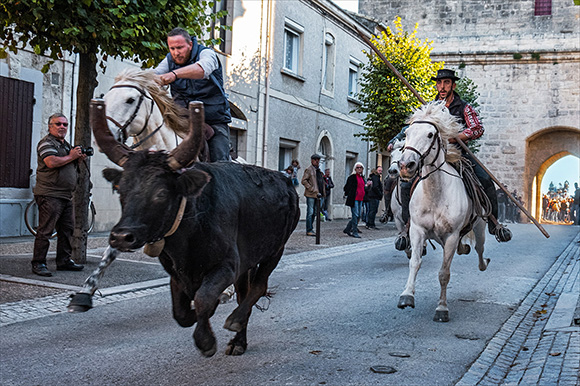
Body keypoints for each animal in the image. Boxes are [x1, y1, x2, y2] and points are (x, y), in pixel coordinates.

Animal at [93, 99, 302, 356]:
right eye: (121, 189)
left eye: (161, 193)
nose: (121, 236)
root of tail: (285, 180)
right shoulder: (177, 273)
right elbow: (181, 313)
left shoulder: (227, 266)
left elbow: (203, 298)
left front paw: (206, 340)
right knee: (245, 292)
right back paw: (238, 341)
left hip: (275, 251)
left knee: (258, 287)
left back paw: (235, 320)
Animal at [396, 102, 488, 322]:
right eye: (407, 133)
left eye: (430, 134)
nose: (405, 165)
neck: (435, 193)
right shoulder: (417, 230)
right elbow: (415, 263)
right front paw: (406, 296)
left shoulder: (452, 236)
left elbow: (444, 273)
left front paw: (442, 308)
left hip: (480, 228)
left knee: (480, 249)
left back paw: (485, 258)